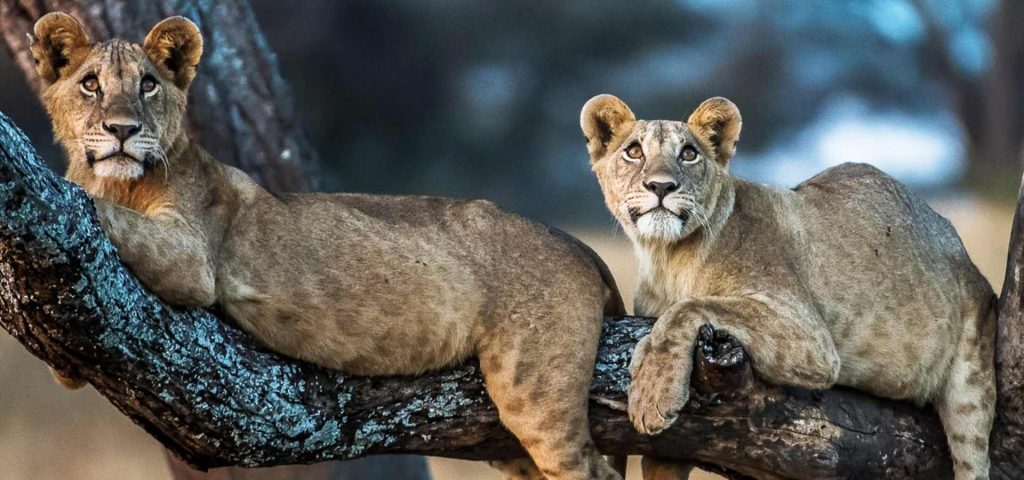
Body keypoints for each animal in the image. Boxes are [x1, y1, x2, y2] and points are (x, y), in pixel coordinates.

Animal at [30, 12, 626, 480]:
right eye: (90, 84)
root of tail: (576, 244)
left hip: (534, 389)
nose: (122, 130)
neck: (120, 180)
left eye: (149, 85)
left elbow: (104, 213)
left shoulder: (192, 256)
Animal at [581, 94, 996, 480]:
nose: (661, 186)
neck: (665, 257)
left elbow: (690, 307)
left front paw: (650, 391)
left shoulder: (809, 337)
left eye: (689, 154)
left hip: (971, 386)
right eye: (634, 151)